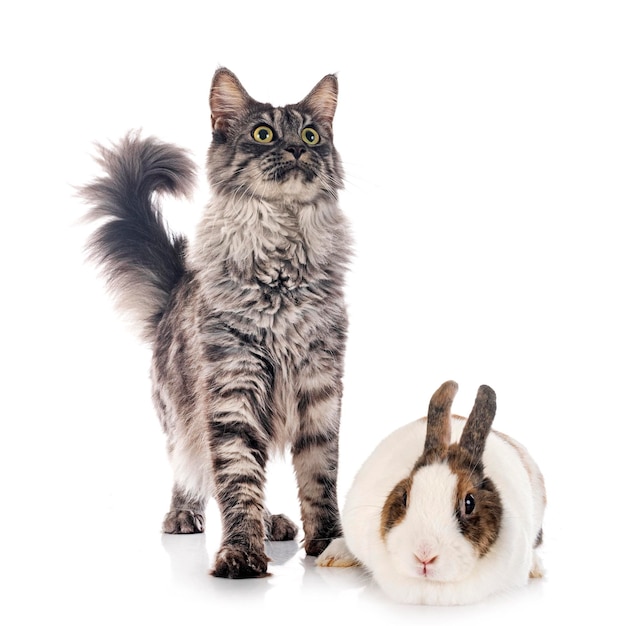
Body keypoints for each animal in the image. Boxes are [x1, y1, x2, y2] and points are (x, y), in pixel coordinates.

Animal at [81, 67, 352, 576]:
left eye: (312, 135)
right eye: (263, 135)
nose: (297, 149)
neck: (281, 273)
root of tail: (175, 288)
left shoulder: (320, 387)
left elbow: (319, 477)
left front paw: (329, 543)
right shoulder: (232, 387)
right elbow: (237, 478)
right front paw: (241, 552)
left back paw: (272, 522)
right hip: (180, 412)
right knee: (190, 468)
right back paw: (184, 516)